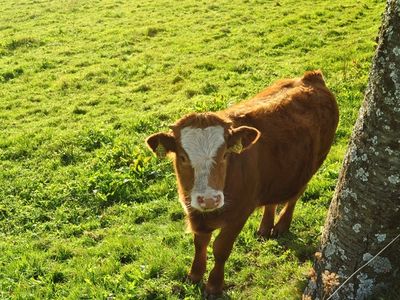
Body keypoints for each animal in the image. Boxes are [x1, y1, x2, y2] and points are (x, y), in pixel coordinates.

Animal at [145, 71, 340, 298]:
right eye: (183, 157)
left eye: (225, 154)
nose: (209, 199)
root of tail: (310, 77)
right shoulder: (196, 213)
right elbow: (199, 244)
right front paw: (194, 275)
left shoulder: (240, 213)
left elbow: (221, 248)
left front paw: (214, 285)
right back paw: (265, 228)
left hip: (313, 163)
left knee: (295, 195)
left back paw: (281, 225)